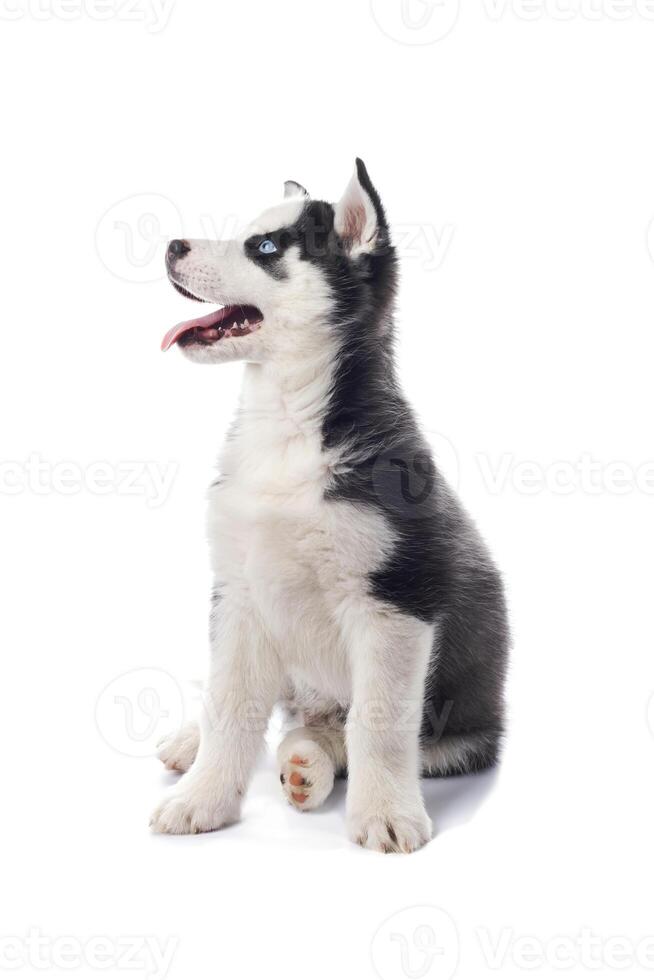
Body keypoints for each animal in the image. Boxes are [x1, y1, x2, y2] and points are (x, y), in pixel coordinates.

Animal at [151, 159, 510, 848]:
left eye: (264, 249)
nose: (172, 246)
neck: (288, 424)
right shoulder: (239, 592)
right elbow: (230, 703)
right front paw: (204, 797)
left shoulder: (396, 601)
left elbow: (378, 721)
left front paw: (387, 812)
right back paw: (200, 743)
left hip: (468, 726)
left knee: (353, 730)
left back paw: (310, 764)